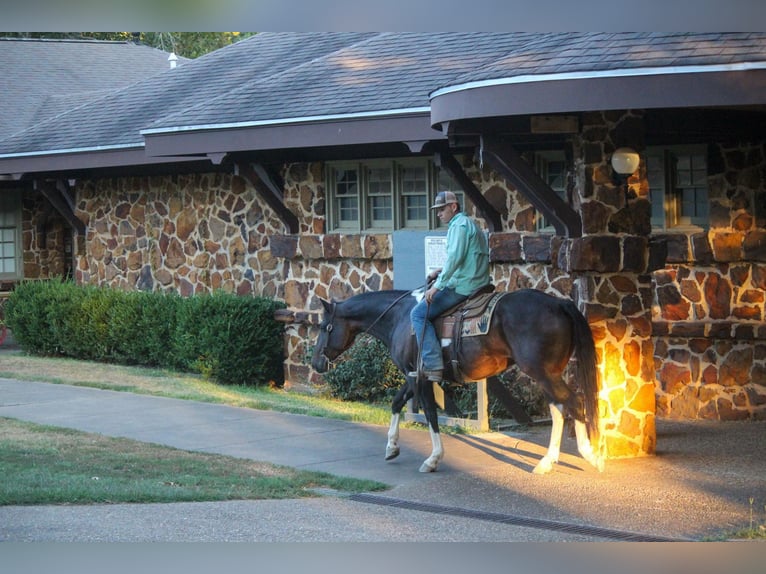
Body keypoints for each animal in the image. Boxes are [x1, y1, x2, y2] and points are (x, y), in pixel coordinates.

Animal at [312, 290, 608, 474]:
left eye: (324, 327)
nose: (315, 363)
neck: (400, 318)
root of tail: (559, 303)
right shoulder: (412, 374)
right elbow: (396, 403)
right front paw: (392, 447)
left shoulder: (419, 376)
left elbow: (430, 414)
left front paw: (433, 459)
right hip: (549, 373)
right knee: (563, 407)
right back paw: (561, 458)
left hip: (542, 372)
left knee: (572, 403)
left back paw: (581, 455)